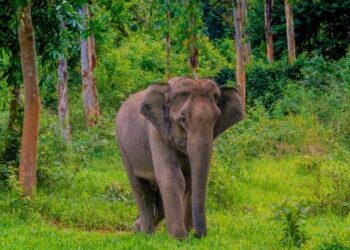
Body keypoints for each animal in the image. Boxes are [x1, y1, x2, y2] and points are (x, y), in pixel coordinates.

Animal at [115, 77, 243, 239]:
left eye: (217, 118)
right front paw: (179, 238)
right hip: (123, 147)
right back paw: (146, 234)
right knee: (140, 188)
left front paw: (186, 233)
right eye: (182, 118)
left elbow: (190, 180)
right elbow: (172, 177)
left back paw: (138, 228)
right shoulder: (157, 133)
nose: (197, 235)